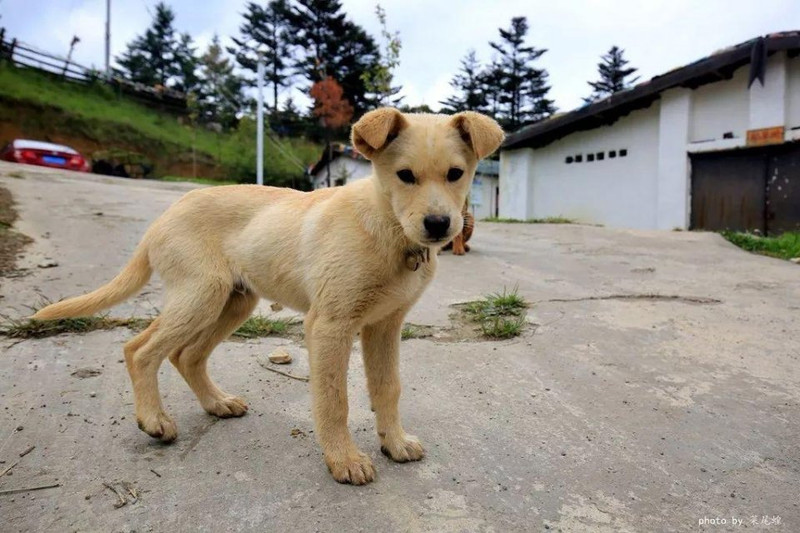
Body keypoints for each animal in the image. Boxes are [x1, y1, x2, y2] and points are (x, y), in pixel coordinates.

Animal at [34, 106, 506, 484]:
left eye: (456, 174)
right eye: (405, 176)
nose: (439, 225)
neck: (386, 226)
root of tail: (163, 216)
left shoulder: (385, 326)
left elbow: (388, 388)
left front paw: (395, 442)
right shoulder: (329, 325)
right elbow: (334, 400)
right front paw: (344, 459)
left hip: (235, 301)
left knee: (186, 356)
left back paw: (217, 403)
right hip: (201, 294)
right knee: (140, 349)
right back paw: (153, 420)